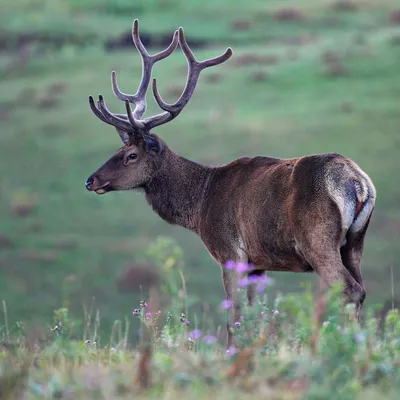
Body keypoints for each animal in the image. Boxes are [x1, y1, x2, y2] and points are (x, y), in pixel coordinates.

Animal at [84, 18, 376, 346]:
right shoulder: (257, 264)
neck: (199, 205)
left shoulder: (229, 252)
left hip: (317, 240)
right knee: (362, 290)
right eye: (118, 150)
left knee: (350, 291)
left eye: (131, 155)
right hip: (355, 241)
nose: (91, 180)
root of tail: (357, 182)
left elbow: (234, 315)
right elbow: (255, 315)